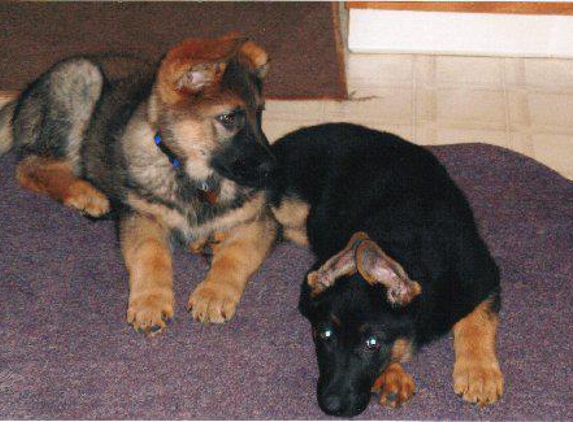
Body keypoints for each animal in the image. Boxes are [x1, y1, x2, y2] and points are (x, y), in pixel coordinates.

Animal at [0, 34, 278, 334]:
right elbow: (150, 253)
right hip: (82, 78)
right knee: (30, 167)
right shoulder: (141, 216)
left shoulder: (261, 222)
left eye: (260, 113)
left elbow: (236, 254)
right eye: (228, 118)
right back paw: (86, 194)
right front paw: (151, 301)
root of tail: (25, 93)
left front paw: (213, 294)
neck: (194, 177)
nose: (274, 170)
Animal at [268, 123, 500, 418]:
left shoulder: (482, 273)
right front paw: (392, 376)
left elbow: (478, 319)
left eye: (372, 343)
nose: (331, 407)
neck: (406, 247)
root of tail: (278, 145)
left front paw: (479, 372)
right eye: (325, 335)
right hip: (290, 208)